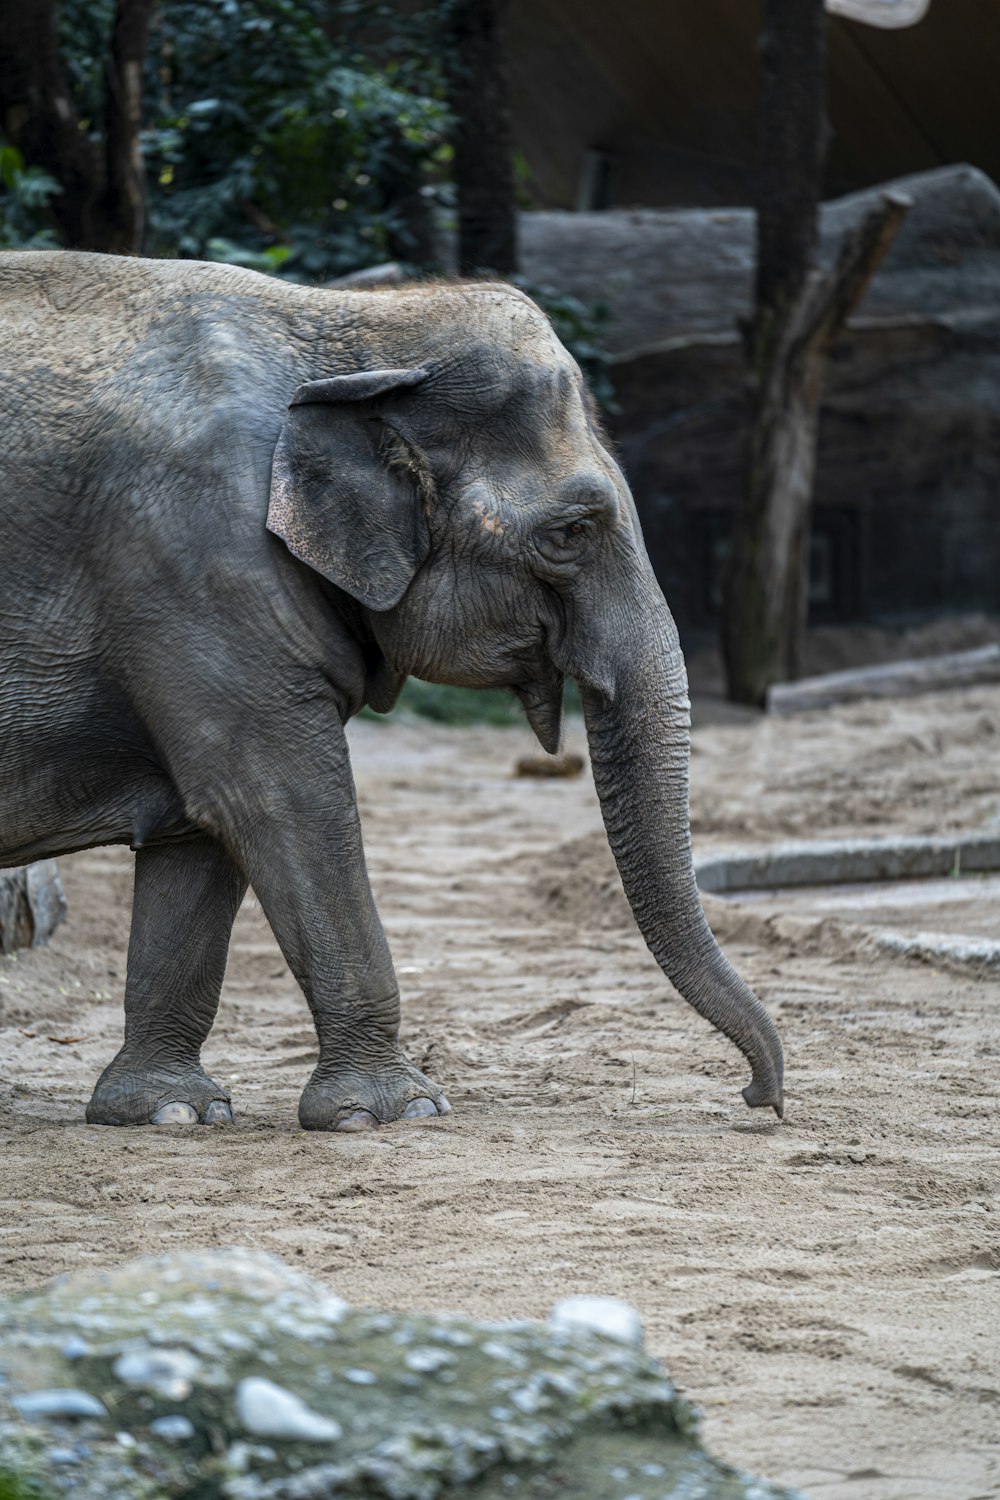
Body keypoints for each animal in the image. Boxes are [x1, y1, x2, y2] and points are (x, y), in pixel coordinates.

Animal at [0, 252, 779, 1128]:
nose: (758, 1098)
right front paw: (395, 1113)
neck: (352, 325)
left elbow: (198, 825)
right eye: (572, 532)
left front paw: (172, 1113)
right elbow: (274, 798)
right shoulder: (193, 569)